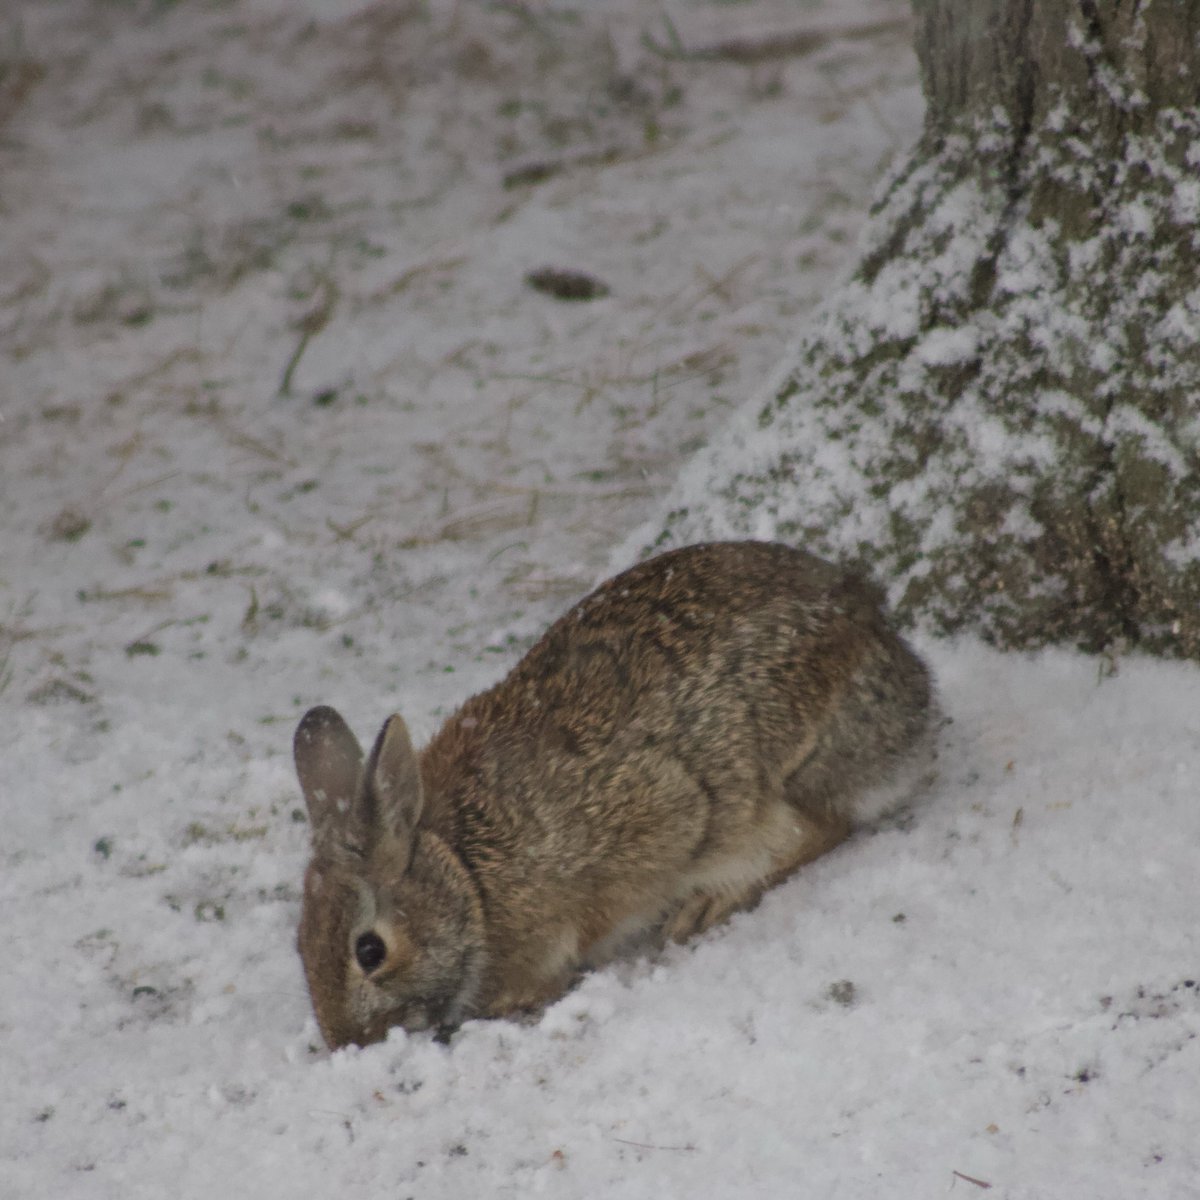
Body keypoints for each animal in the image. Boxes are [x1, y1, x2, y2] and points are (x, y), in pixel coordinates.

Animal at [295, 540, 931, 1046]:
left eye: (369, 951)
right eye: (301, 946)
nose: (346, 1041)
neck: (466, 879)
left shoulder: (649, 825)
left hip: (782, 773)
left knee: (822, 827)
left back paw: (706, 905)